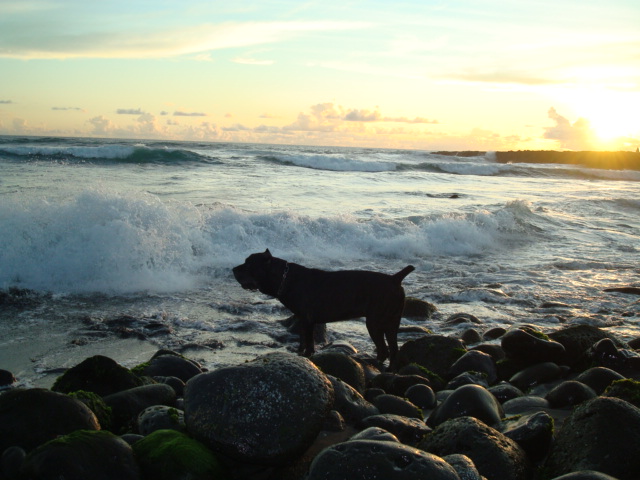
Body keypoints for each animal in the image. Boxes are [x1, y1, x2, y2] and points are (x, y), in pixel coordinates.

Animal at [231, 249, 416, 366]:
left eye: (248, 264)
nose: (233, 269)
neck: (285, 279)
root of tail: (394, 278)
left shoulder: (307, 320)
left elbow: (309, 342)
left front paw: (306, 355)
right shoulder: (302, 320)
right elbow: (303, 339)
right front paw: (299, 352)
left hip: (375, 322)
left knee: (384, 350)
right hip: (392, 322)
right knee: (393, 349)